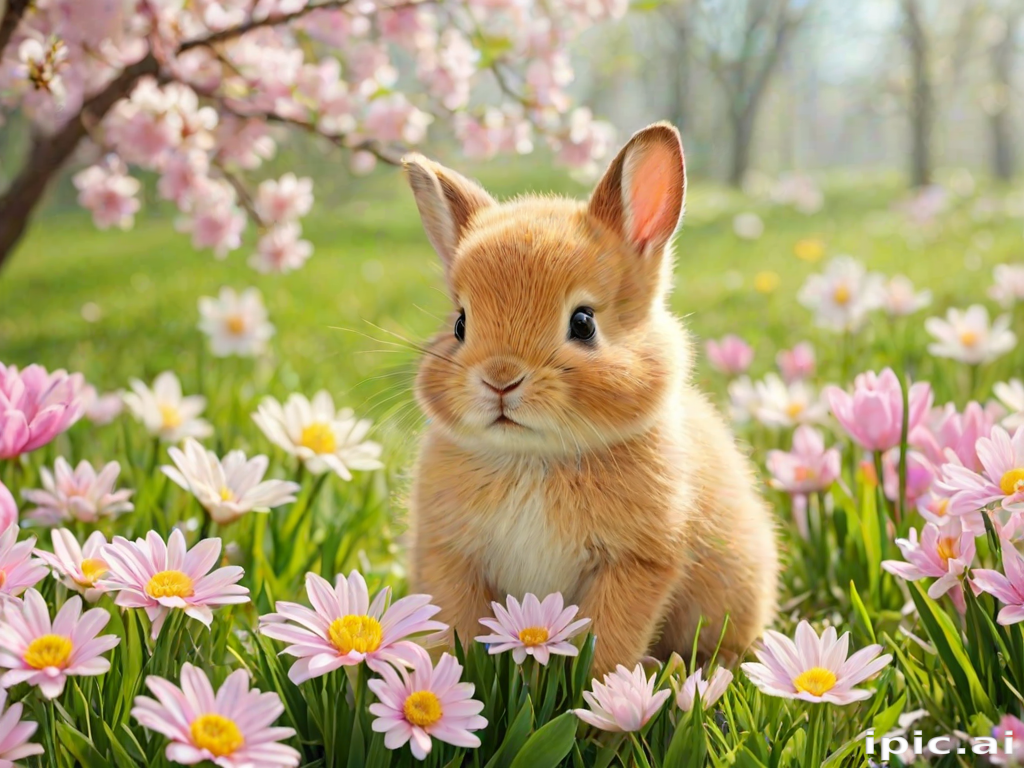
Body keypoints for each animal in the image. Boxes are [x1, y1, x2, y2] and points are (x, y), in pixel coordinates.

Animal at [401, 122, 778, 675]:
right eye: (460, 324)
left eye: (583, 323)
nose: (500, 379)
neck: (536, 457)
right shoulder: (449, 556)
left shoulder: (637, 562)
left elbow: (608, 641)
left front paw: (604, 695)